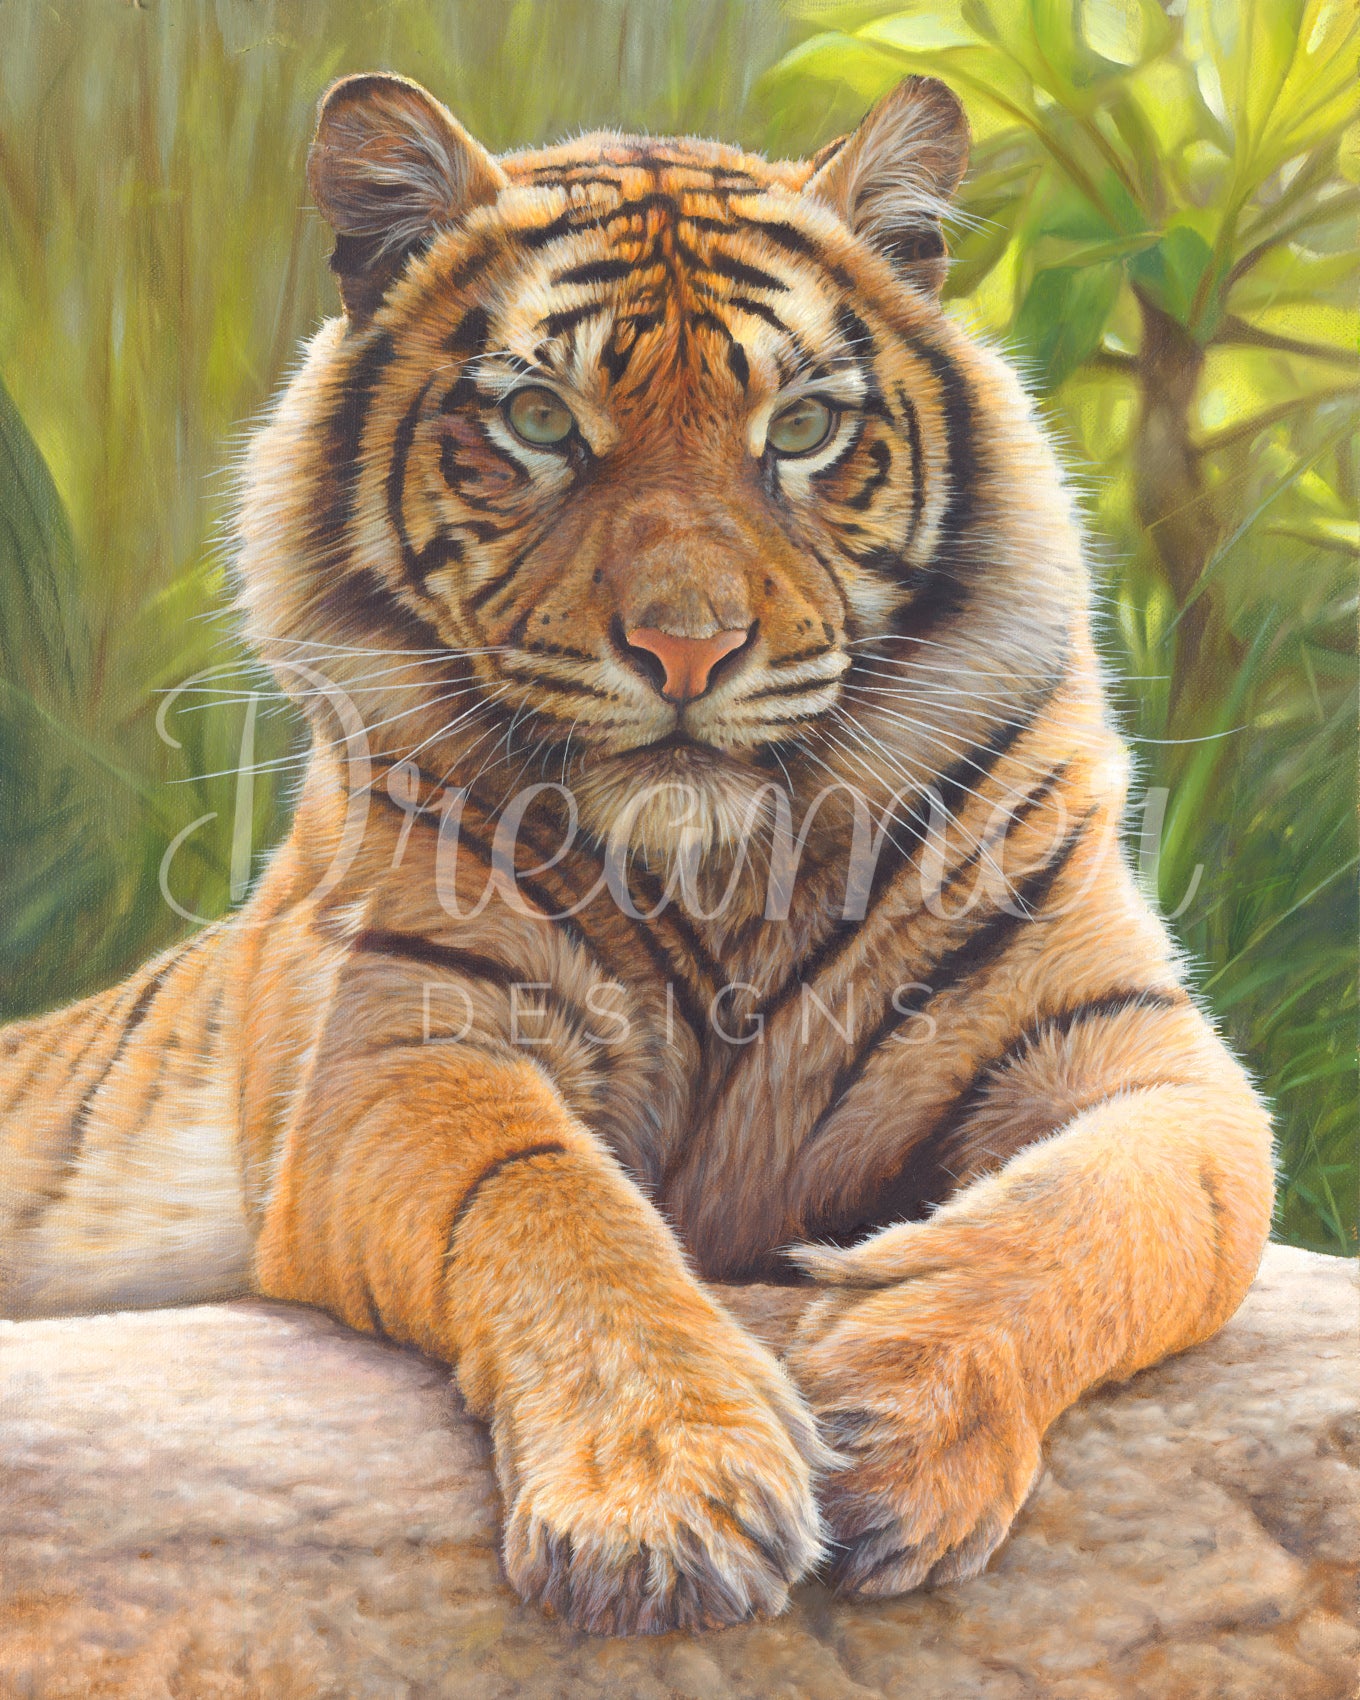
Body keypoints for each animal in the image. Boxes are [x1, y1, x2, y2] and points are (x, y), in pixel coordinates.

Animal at [0, 71, 1274, 1637]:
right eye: (539, 419)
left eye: (802, 427)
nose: (687, 647)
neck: (725, 875)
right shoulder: (405, 1050)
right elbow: (551, 1205)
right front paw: (667, 1496)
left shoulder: (1140, 1050)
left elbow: (1114, 1212)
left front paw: (891, 1418)